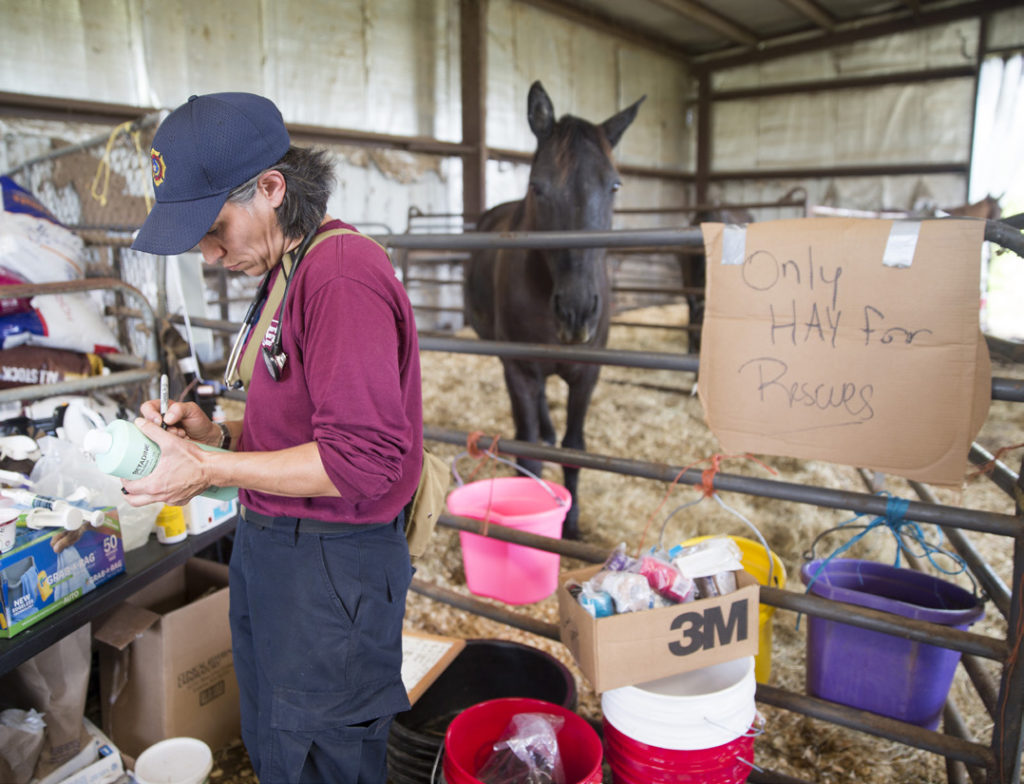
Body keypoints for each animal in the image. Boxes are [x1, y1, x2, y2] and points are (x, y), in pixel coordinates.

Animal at [468, 82, 643, 544]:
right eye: (538, 186)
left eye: (614, 185)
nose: (576, 312)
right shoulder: (519, 369)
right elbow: (526, 453)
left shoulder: (587, 373)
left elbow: (575, 451)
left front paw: (574, 523)